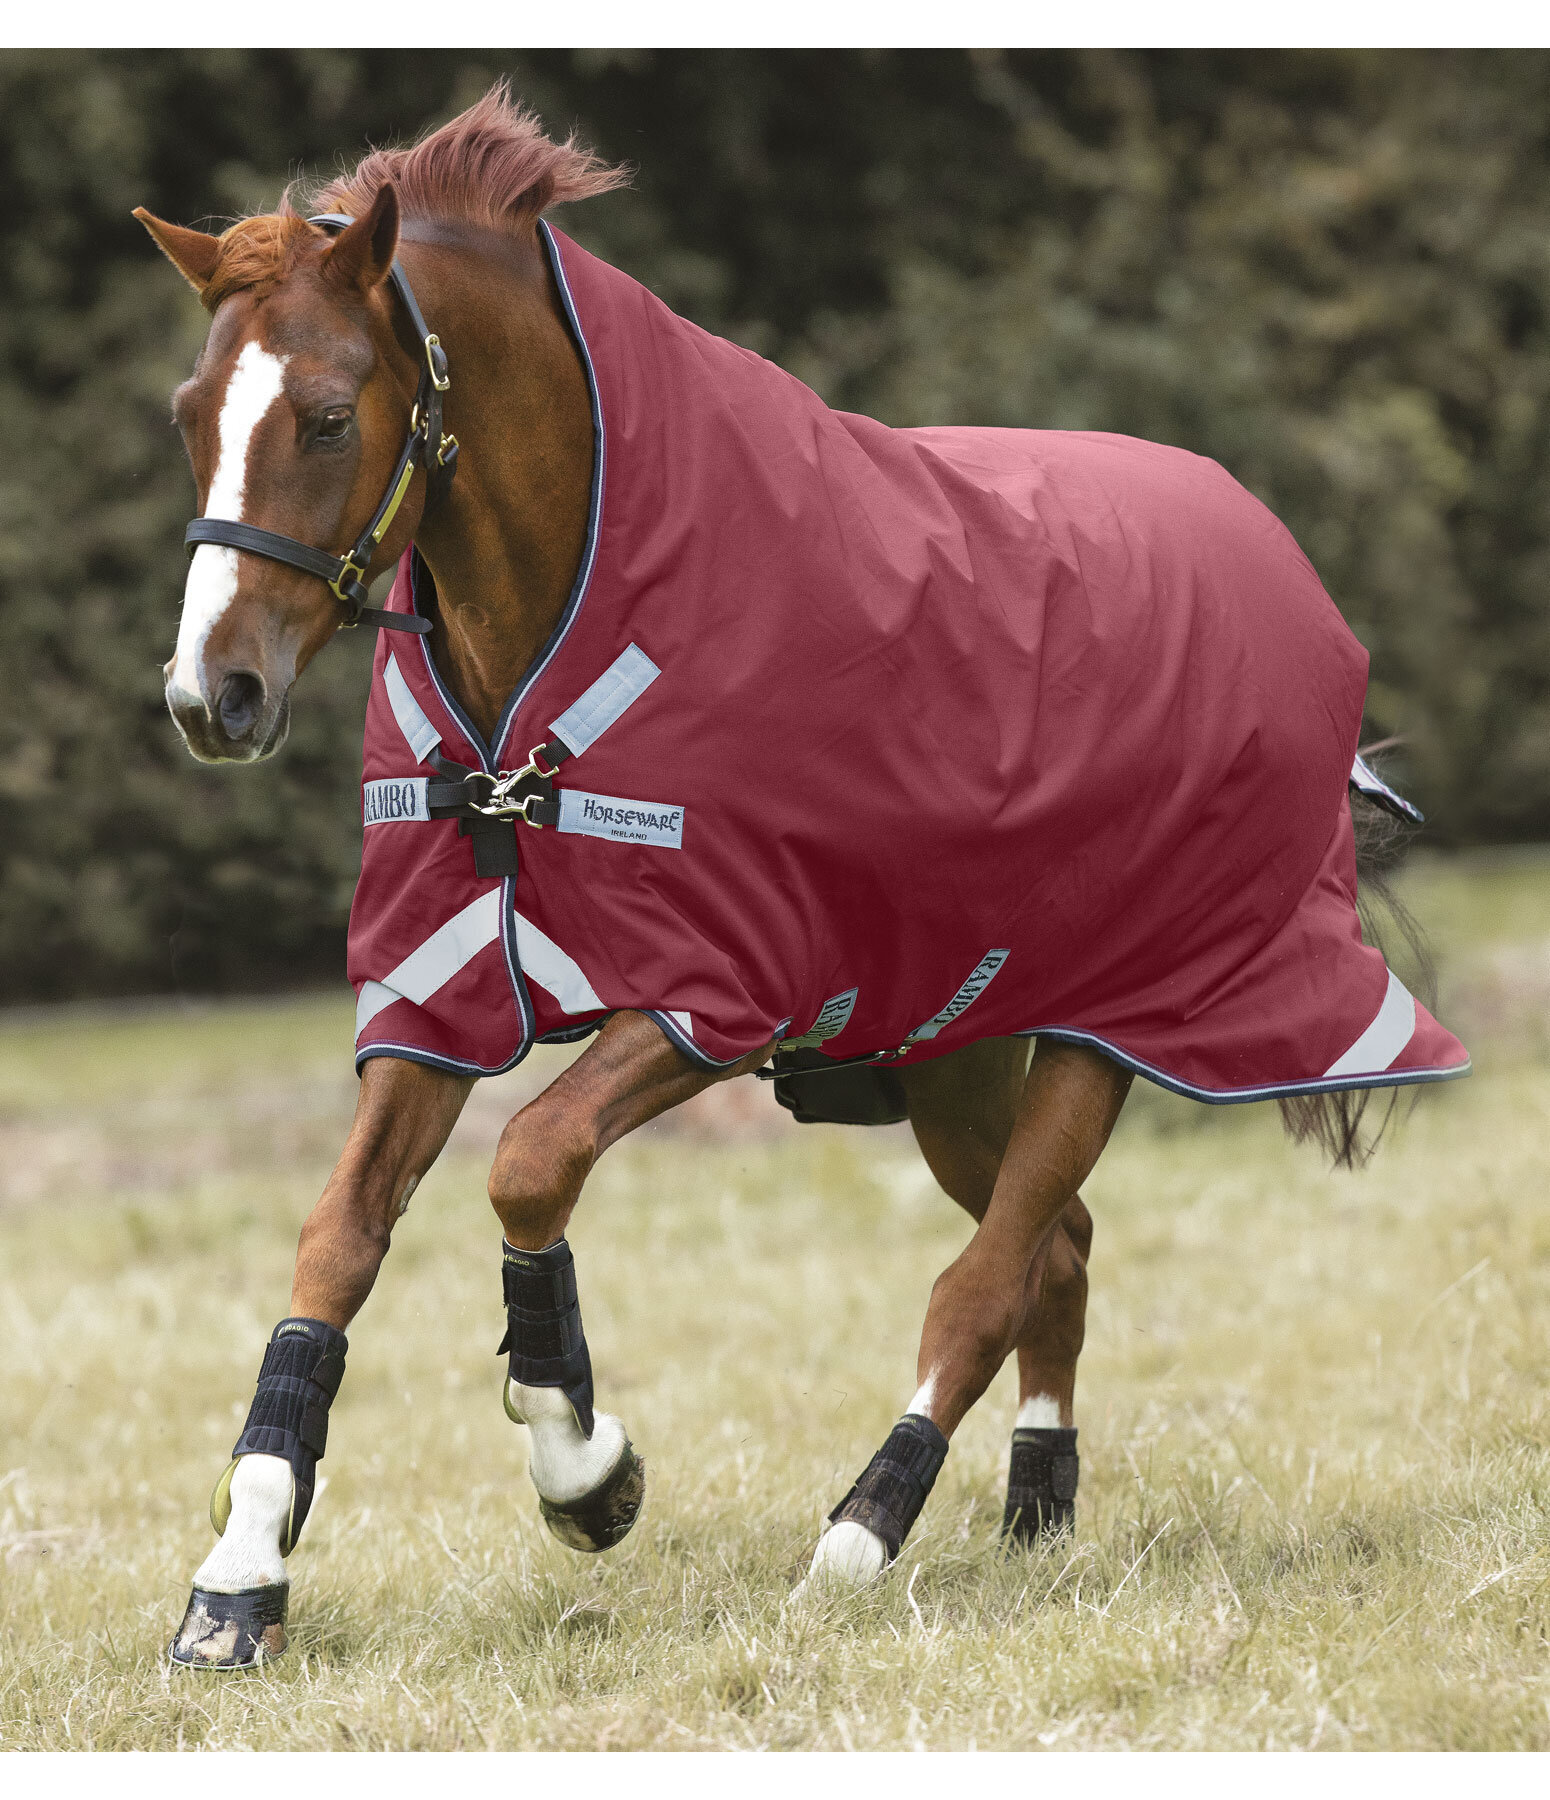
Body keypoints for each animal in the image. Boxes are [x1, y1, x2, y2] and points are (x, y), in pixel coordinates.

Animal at [134, 85, 1469, 1668]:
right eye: (190, 416)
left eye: (332, 416)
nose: (211, 696)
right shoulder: (437, 992)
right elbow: (334, 1241)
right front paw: (241, 1571)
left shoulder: (716, 996)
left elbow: (532, 1163)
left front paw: (584, 1468)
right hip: (958, 1052)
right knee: (1057, 1253)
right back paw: (1034, 1511)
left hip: (1119, 1023)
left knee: (987, 1280)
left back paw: (859, 1535)